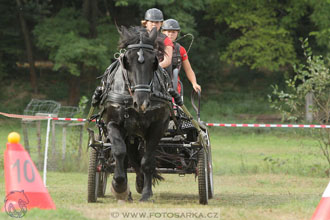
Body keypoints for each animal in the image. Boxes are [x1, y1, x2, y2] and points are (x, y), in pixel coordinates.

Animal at [97, 25, 170, 201]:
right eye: (127, 61)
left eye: (153, 62)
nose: (142, 103)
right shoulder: (112, 123)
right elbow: (119, 152)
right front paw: (119, 186)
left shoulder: (158, 126)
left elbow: (147, 160)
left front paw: (146, 192)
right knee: (127, 156)